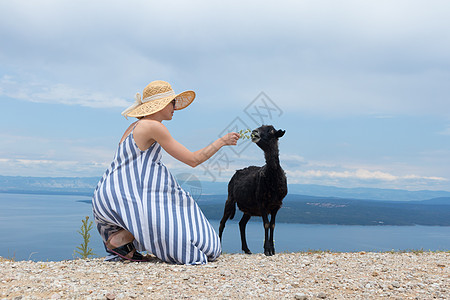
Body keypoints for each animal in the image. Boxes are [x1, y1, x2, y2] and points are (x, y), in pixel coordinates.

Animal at [219, 124, 288, 255]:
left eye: (271, 131)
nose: (254, 132)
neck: (272, 176)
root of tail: (238, 171)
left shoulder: (277, 205)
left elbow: (272, 225)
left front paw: (272, 249)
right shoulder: (262, 203)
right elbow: (266, 224)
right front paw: (267, 250)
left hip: (249, 208)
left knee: (241, 224)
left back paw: (247, 249)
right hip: (230, 198)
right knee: (222, 222)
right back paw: (219, 247)